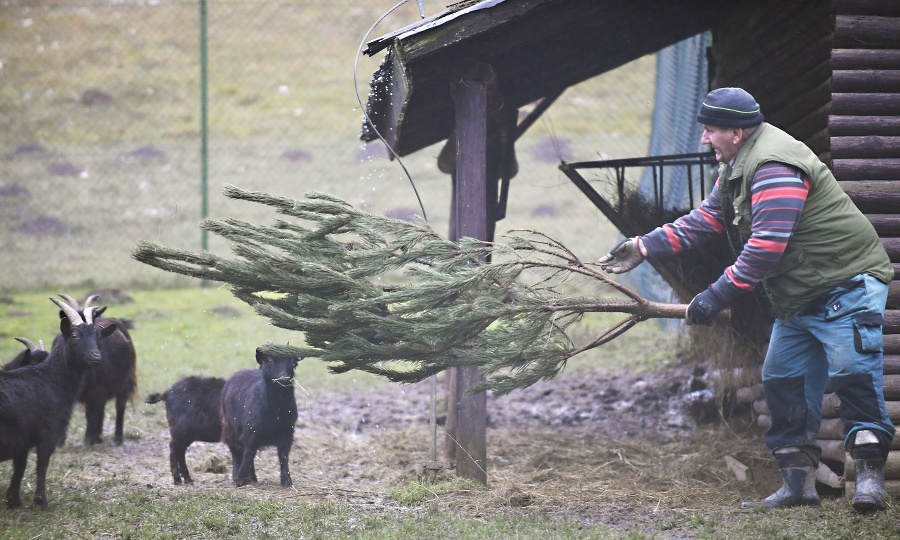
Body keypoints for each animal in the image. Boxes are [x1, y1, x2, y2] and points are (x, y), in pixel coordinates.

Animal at [0, 296, 116, 506]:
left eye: (98, 335)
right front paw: (41, 501)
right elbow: (42, 464)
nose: (96, 356)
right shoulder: (49, 432)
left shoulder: (22, 439)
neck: (50, 378)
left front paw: (14, 500)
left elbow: (20, 467)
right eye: (75, 335)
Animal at [220, 348, 300, 488]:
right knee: (235, 449)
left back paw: (252, 478)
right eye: (270, 360)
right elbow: (248, 454)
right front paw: (239, 479)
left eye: (292, 361)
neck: (276, 412)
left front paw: (287, 481)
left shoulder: (287, 432)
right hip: (230, 426)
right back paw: (237, 475)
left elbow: (283, 456)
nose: (284, 379)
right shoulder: (251, 431)